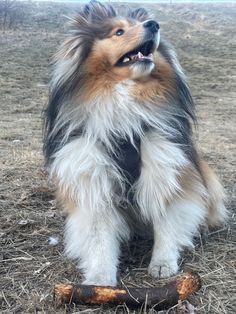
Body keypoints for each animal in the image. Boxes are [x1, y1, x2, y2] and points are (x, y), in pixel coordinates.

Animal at [43, 0, 227, 284]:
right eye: (118, 32)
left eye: (142, 23)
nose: (153, 24)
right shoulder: (93, 183)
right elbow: (99, 239)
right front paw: (99, 280)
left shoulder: (167, 171)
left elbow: (167, 222)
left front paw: (163, 263)